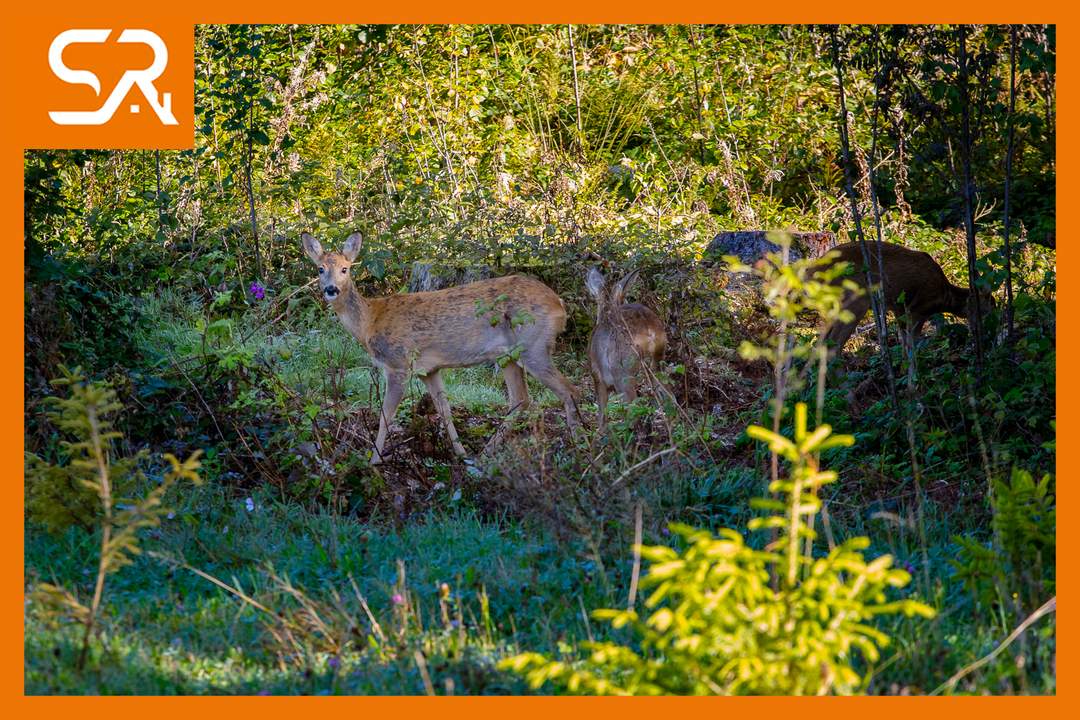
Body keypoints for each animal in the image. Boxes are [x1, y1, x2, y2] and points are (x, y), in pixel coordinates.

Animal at [300, 234, 587, 464]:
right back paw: (485, 453)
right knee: (521, 400)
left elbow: (385, 416)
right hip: (509, 356)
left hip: (533, 345)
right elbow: (444, 410)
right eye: (320, 269)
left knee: (570, 391)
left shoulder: (398, 364)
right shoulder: (430, 370)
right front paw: (460, 453)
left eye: (345, 269)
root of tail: (559, 304)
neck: (370, 322)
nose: (331, 289)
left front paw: (374, 460)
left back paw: (580, 448)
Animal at [583, 268, 665, 427]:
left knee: (633, 408)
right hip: (657, 359)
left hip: (621, 370)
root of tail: (648, 327)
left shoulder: (597, 376)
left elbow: (602, 414)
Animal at [816, 240, 993, 354]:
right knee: (833, 346)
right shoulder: (917, 309)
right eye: (988, 306)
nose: (987, 330)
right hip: (854, 300)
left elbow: (903, 342)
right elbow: (911, 344)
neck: (944, 296)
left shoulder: (898, 308)